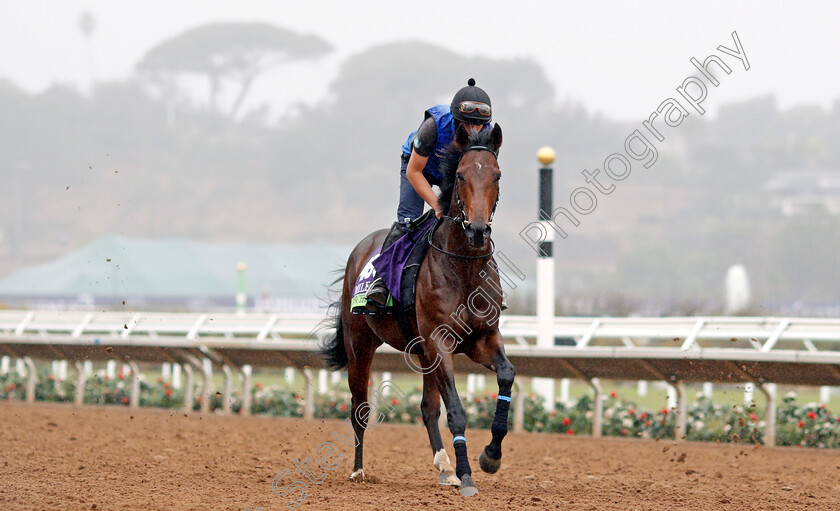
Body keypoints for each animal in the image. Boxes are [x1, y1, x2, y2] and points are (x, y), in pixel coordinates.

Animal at [318, 122, 512, 498]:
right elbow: (455, 410)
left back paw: (445, 467)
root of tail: (359, 251)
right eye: (461, 175)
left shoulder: (481, 338)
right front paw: (467, 477)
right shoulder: (440, 341)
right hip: (359, 344)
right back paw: (359, 470)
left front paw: (490, 456)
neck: (463, 267)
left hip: (422, 352)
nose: (477, 230)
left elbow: (506, 375)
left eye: (496, 175)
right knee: (359, 408)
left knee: (427, 408)